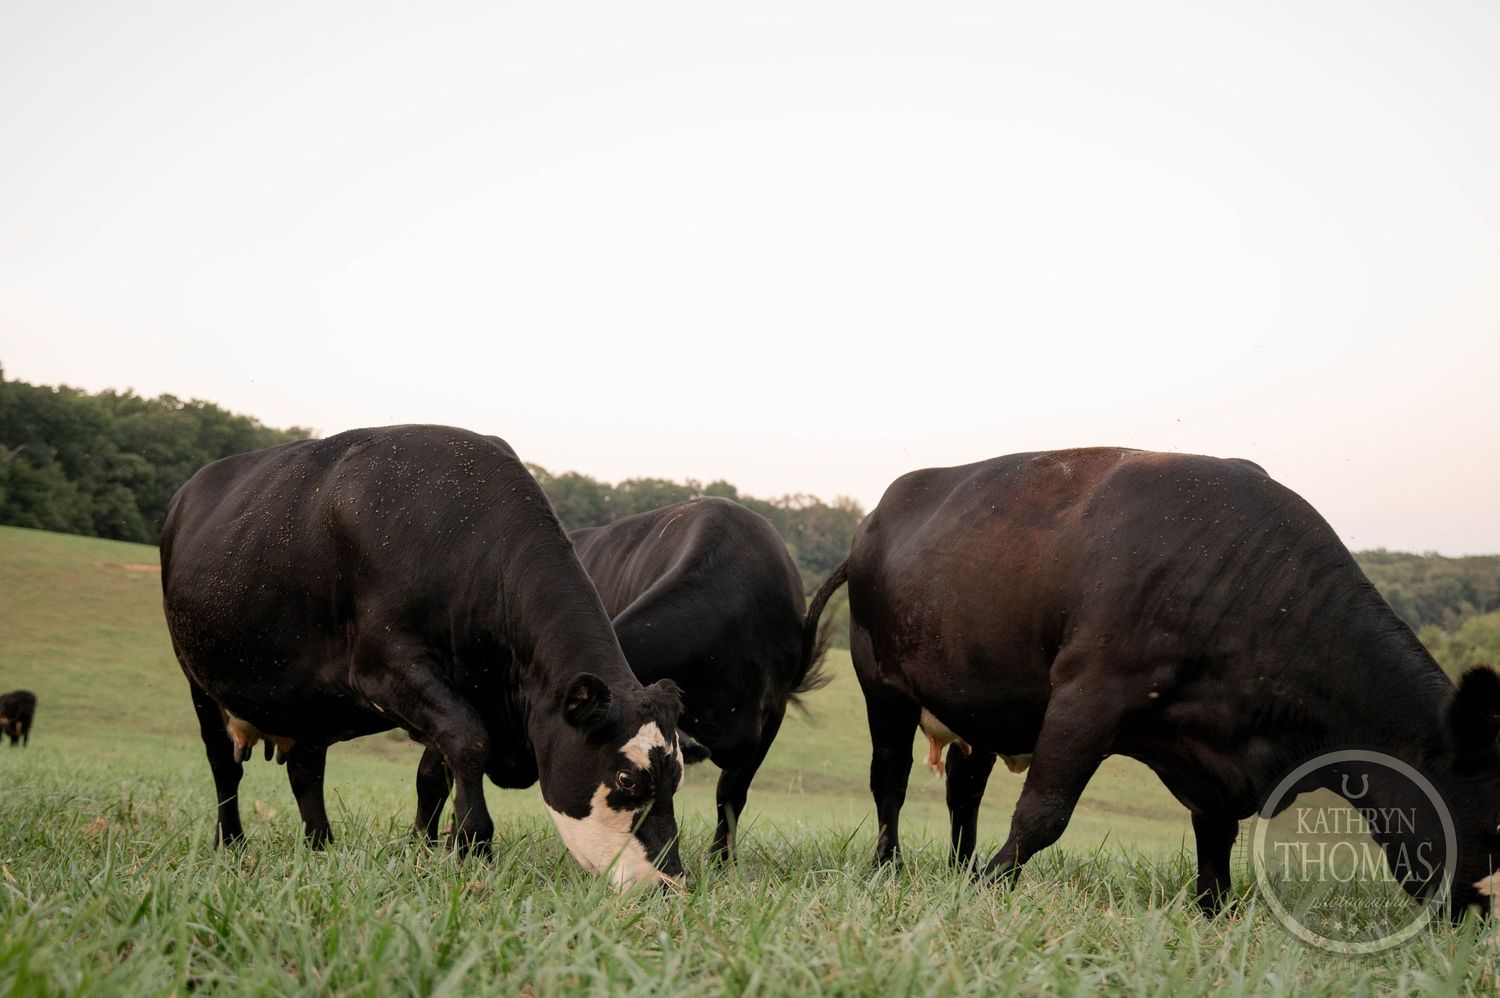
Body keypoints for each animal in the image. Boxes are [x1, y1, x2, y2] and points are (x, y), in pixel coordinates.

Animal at [160, 425, 688, 889]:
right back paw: (233, 844)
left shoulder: (462, 688)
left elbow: (436, 770)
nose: (668, 883)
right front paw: (473, 846)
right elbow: (470, 743)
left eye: (677, 776)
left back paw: (321, 846)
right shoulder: (386, 669)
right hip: (198, 678)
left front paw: (424, 845)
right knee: (224, 766)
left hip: (307, 702)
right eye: (626, 778)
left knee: (305, 771)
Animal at [813, 448, 1500, 916]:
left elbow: (1216, 835)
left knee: (964, 789)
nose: (1483, 920)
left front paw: (1213, 910)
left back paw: (957, 866)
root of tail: (875, 516)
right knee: (890, 779)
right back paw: (890, 868)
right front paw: (991, 884)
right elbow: (1044, 812)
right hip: (882, 684)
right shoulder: (1090, 692)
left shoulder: (1210, 749)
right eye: (1496, 824)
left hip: (977, 706)